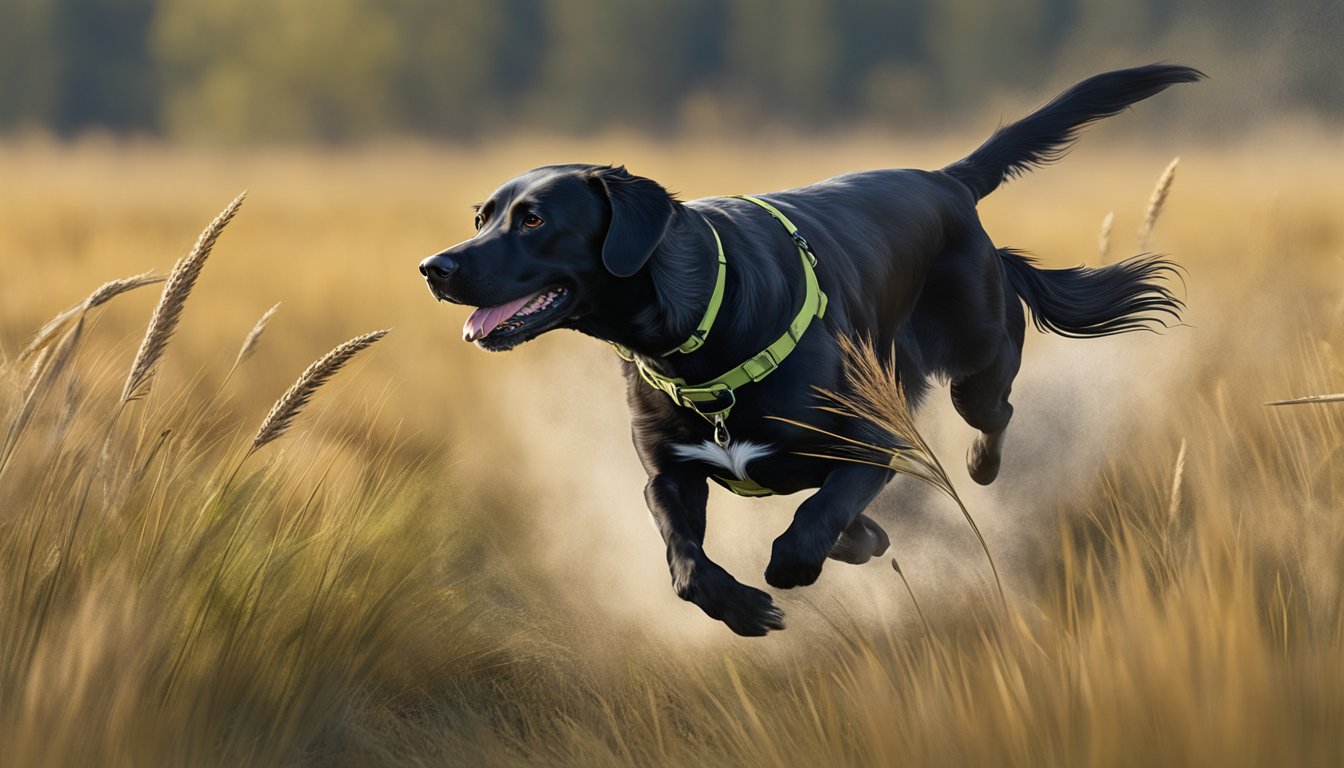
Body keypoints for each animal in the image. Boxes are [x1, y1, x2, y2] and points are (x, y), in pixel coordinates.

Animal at [419, 64, 1198, 637]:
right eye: (482, 217)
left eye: (534, 220)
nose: (434, 267)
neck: (696, 335)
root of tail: (945, 178)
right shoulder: (668, 473)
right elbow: (686, 562)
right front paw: (744, 608)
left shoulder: (873, 438)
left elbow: (811, 521)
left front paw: (798, 566)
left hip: (976, 360)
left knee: (993, 415)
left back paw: (978, 465)